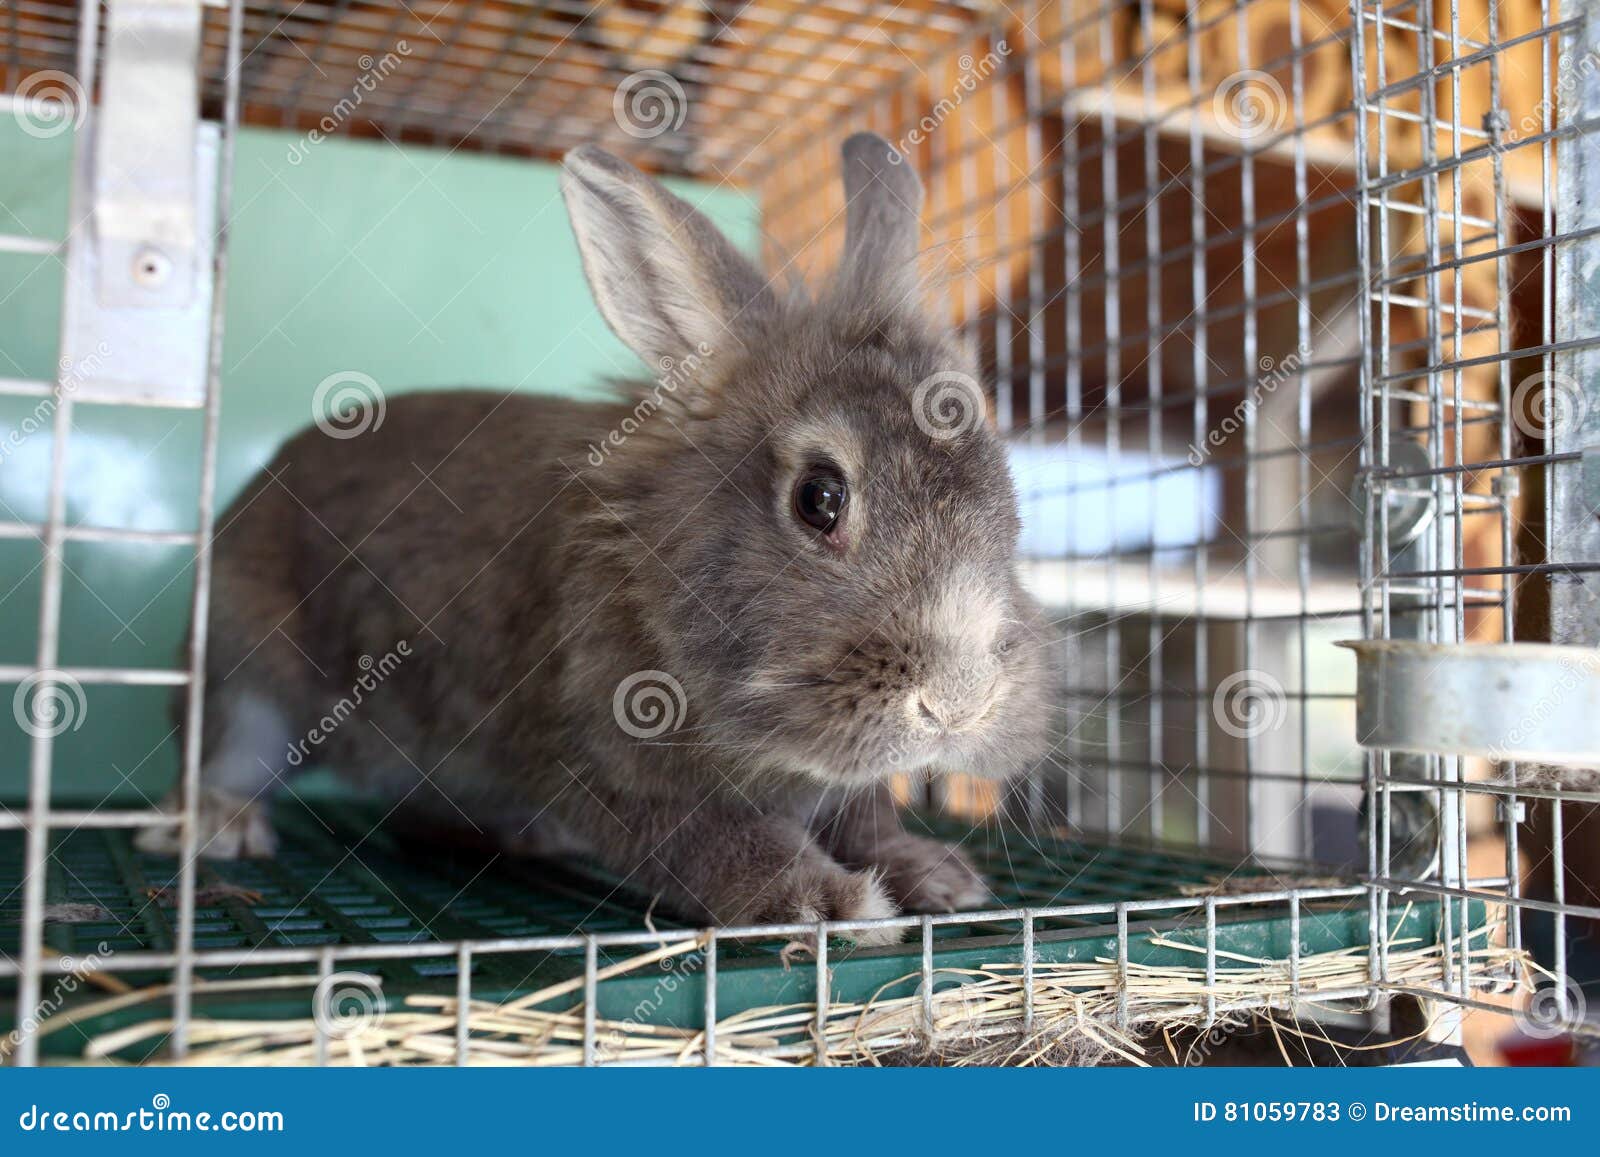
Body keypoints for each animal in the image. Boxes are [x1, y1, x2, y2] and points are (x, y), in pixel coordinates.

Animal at [136, 133, 1053, 945]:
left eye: (1010, 496)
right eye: (818, 499)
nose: (959, 700)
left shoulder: (840, 786)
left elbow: (867, 817)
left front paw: (935, 875)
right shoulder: (608, 751)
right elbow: (711, 839)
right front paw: (830, 901)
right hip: (247, 667)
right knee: (224, 747)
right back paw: (218, 824)